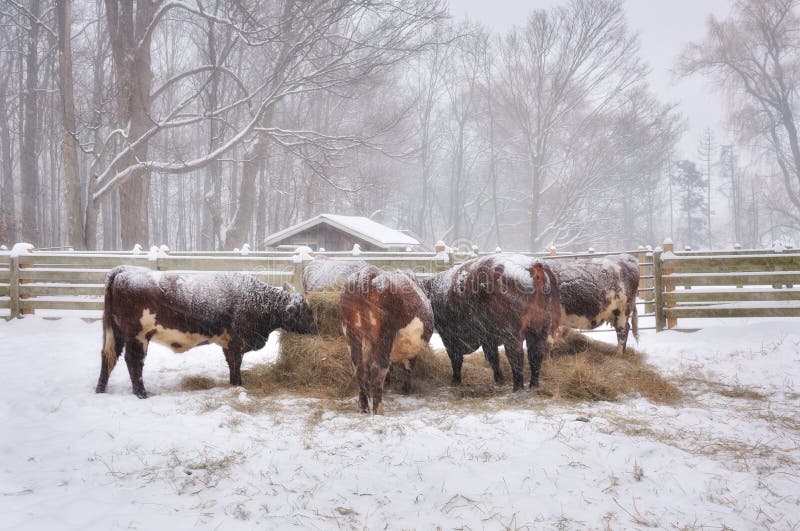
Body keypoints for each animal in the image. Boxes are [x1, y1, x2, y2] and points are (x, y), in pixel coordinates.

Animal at [95, 265, 316, 398]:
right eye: (305, 312)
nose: (316, 328)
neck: (258, 301)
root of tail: (125, 269)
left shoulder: (228, 344)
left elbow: (231, 366)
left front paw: (233, 384)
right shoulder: (237, 343)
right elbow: (236, 367)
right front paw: (239, 386)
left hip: (118, 334)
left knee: (108, 357)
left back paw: (100, 389)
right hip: (137, 336)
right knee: (133, 362)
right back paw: (141, 393)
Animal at [340, 266, 434, 414]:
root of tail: (367, 273)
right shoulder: (412, 349)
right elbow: (408, 367)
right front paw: (407, 389)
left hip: (352, 335)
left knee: (359, 369)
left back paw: (363, 407)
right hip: (384, 336)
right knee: (379, 369)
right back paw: (378, 409)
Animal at [422, 254, 561, 391]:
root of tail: (533, 266)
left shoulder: (449, 337)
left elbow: (457, 360)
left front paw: (455, 381)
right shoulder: (487, 339)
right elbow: (493, 358)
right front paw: (499, 380)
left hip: (513, 335)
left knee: (516, 357)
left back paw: (517, 387)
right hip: (539, 330)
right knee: (535, 355)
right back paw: (533, 385)